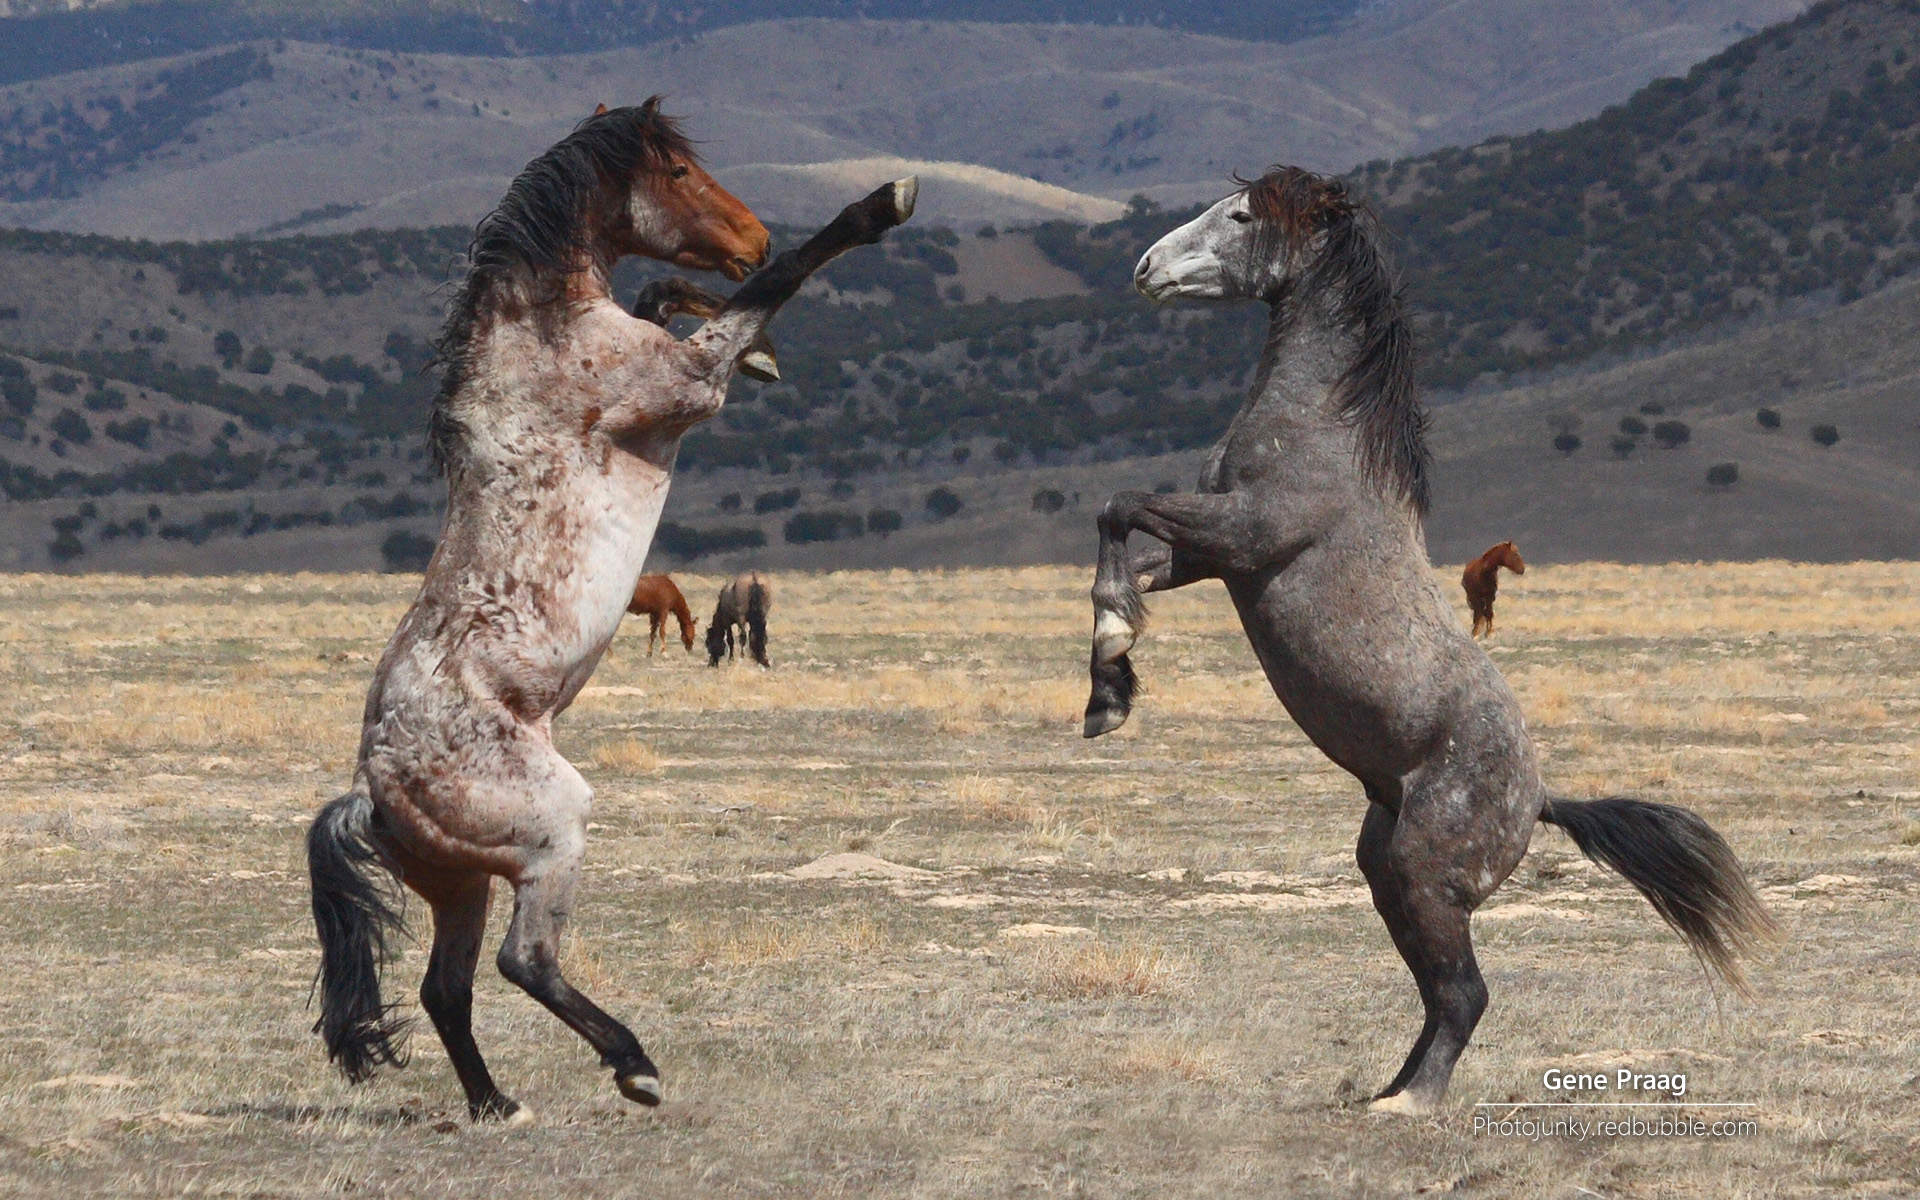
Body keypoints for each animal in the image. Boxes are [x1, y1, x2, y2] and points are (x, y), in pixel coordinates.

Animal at [306, 98, 916, 1123]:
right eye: (675, 172)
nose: (748, 231)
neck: (541, 341)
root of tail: (371, 794)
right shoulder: (687, 387)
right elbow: (781, 280)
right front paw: (878, 205)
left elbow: (677, 294)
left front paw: (758, 345)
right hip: (551, 833)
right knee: (523, 961)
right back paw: (634, 1063)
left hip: (462, 882)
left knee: (446, 989)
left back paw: (498, 1105)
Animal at [1082, 166, 1775, 1116]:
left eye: (1242, 215)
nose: (1146, 268)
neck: (1325, 428)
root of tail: (1539, 798)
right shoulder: (1210, 556)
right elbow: (1119, 554)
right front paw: (1107, 689)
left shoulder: (1246, 537)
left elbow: (1117, 505)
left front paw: (1114, 662)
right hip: (1388, 874)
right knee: (1438, 992)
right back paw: (1388, 1089)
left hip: (1423, 875)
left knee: (1465, 992)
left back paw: (1412, 1104)